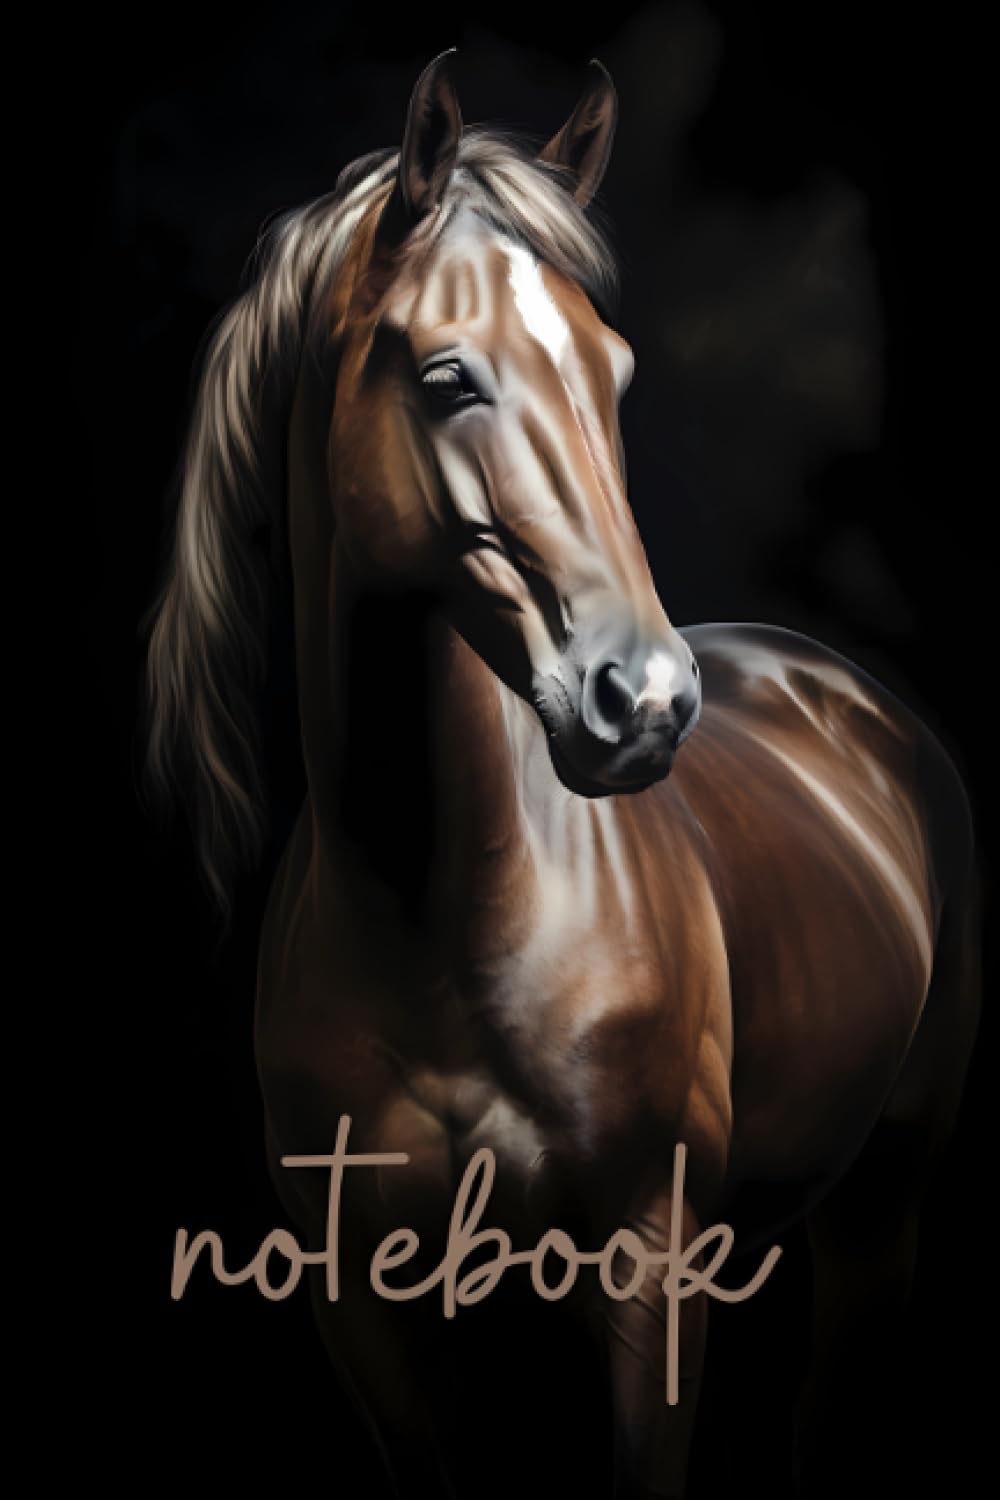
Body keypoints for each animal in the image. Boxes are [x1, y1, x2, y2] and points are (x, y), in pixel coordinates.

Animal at [145, 52, 980, 1499]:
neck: (442, 925)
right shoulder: (368, 1312)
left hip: (882, 1209)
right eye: (447, 377)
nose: (643, 700)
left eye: (615, 370)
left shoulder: (649, 1268)